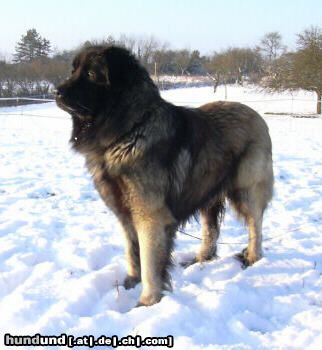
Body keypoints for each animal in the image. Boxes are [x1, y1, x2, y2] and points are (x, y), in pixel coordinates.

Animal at [56, 45, 272, 304]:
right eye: (73, 71)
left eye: (90, 74)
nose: (56, 91)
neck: (130, 130)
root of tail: (256, 116)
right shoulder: (125, 213)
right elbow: (132, 252)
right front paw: (131, 282)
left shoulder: (150, 216)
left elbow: (150, 264)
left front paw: (147, 302)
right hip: (208, 193)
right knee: (211, 230)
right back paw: (201, 258)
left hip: (246, 190)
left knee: (255, 225)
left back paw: (252, 257)